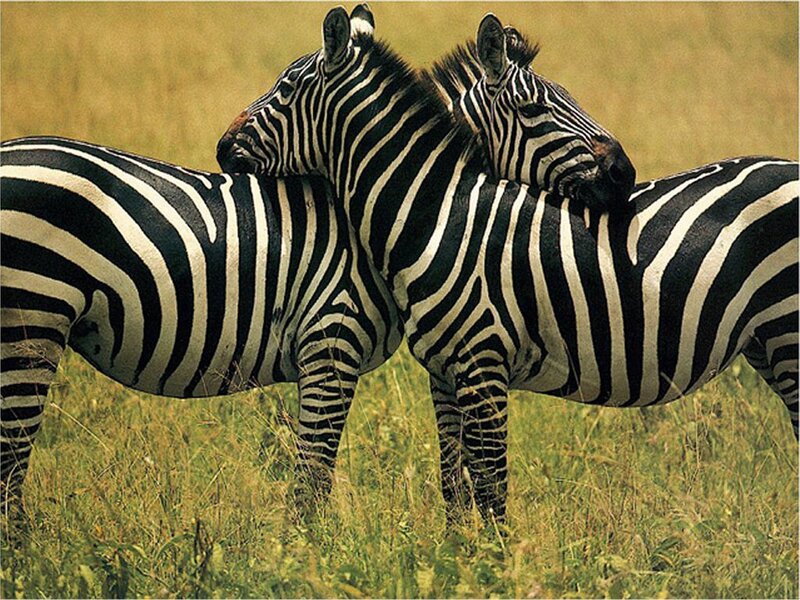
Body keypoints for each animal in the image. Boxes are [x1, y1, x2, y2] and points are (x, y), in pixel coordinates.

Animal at [216, 7, 799, 521]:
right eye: (536, 109)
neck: (441, 213)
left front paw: (495, 566)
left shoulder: (484, 361)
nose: (624, 172)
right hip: (765, 344)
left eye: (284, 89)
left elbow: (491, 488)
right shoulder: (445, 373)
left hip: (786, 335)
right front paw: (457, 561)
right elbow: (455, 484)